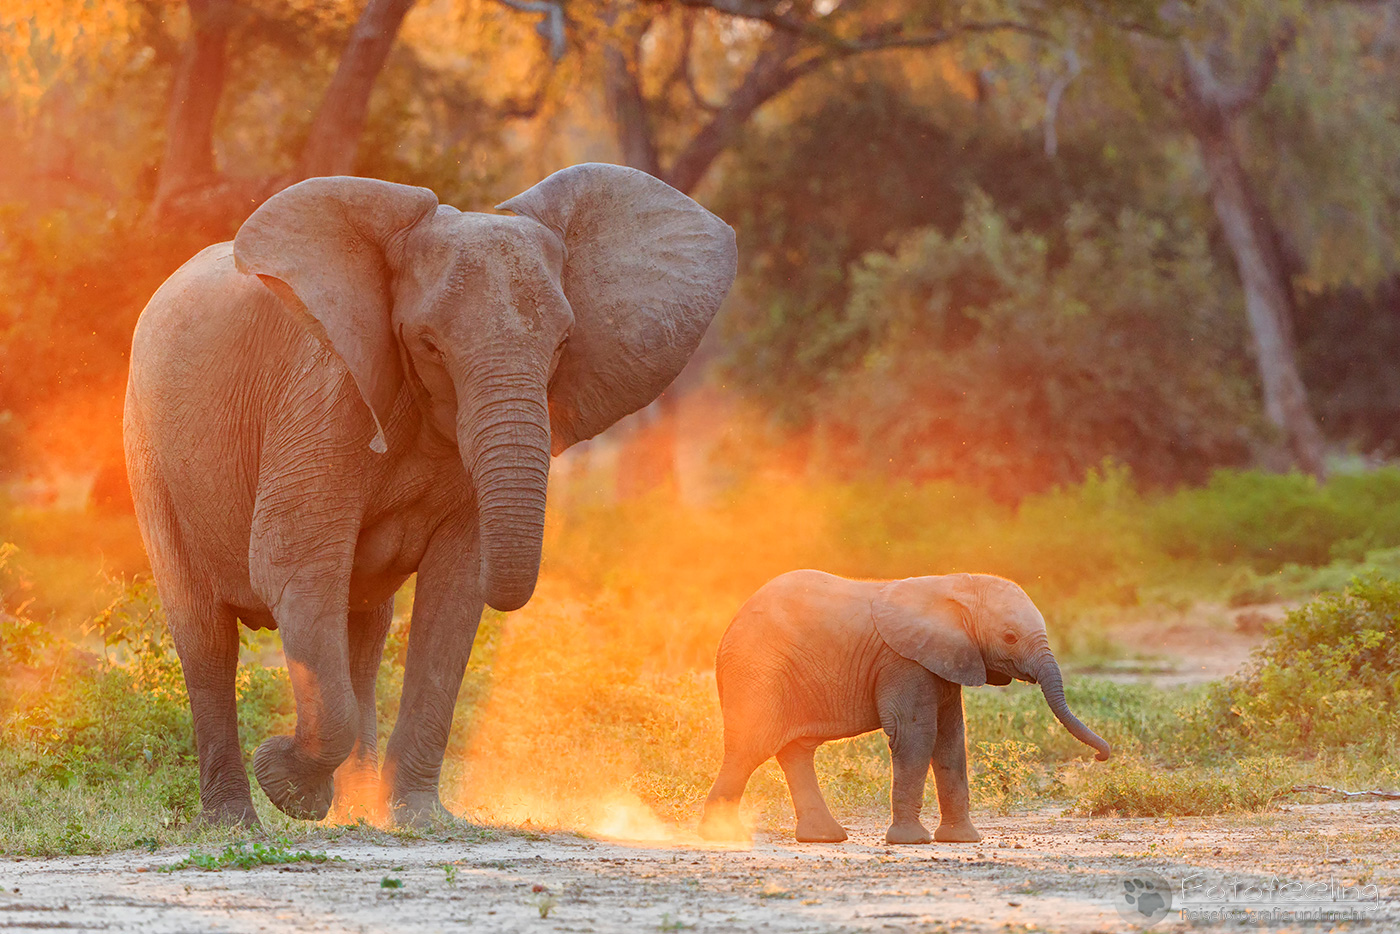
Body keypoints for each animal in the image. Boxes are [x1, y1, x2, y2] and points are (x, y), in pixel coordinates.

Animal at [123, 164, 737, 827]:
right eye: (430, 345)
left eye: (562, 345)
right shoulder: (323, 395)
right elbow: (294, 566)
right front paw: (289, 784)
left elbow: (456, 585)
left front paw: (416, 816)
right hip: (146, 449)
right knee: (206, 634)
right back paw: (235, 820)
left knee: (363, 628)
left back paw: (353, 811)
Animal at [698, 570, 1111, 845]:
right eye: (1009, 637)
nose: (1101, 757)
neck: (955, 586)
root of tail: (730, 624)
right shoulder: (904, 661)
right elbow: (916, 734)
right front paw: (912, 841)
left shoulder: (946, 659)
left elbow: (951, 738)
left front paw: (962, 840)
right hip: (756, 673)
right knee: (750, 746)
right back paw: (721, 835)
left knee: (794, 752)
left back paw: (824, 838)